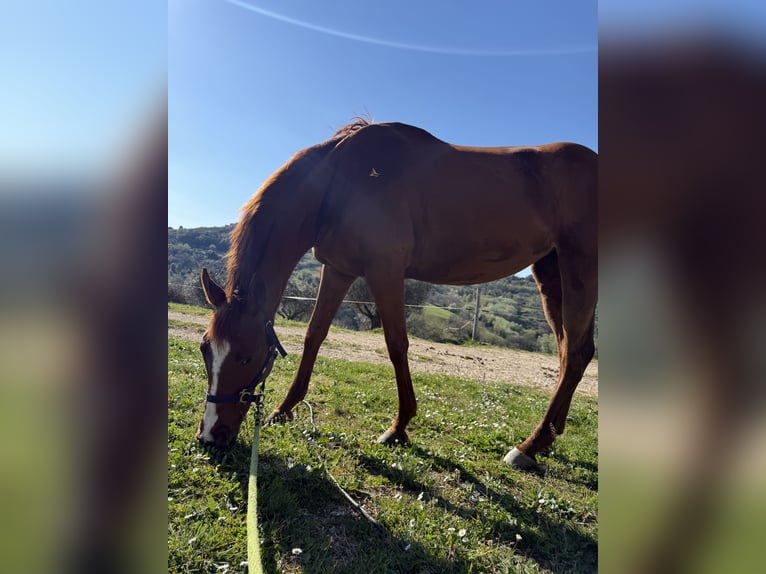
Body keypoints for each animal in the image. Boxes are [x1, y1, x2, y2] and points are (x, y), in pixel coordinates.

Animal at [197, 118, 597, 469]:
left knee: (577, 355)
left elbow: (396, 345)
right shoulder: (338, 270)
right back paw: (550, 435)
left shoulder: (384, 272)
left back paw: (529, 446)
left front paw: (399, 427)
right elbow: (314, 336)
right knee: (569, 354)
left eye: (247, 358)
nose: (210, 437)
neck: (339, 181)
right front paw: (284, 409)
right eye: (205, 350)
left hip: (580, 267)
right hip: (550, 274)